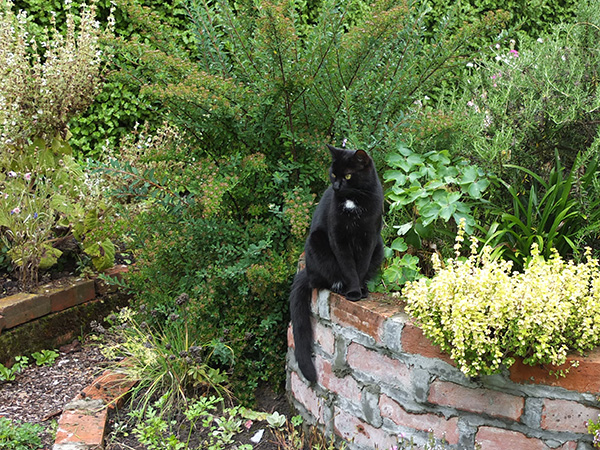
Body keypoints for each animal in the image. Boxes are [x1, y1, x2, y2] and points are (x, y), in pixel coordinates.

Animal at [290, 145, 384, 384]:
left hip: (380, 246)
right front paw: (353, 292)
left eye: (348, 175)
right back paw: (339, 286)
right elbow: (348, 267)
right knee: (322, 280)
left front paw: (360, 290)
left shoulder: (370, 237)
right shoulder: (338, 237)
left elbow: (361, 267)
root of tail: (306, 270)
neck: (354, 200)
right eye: (333, 174)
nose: (336, 186)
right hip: (317, 243)